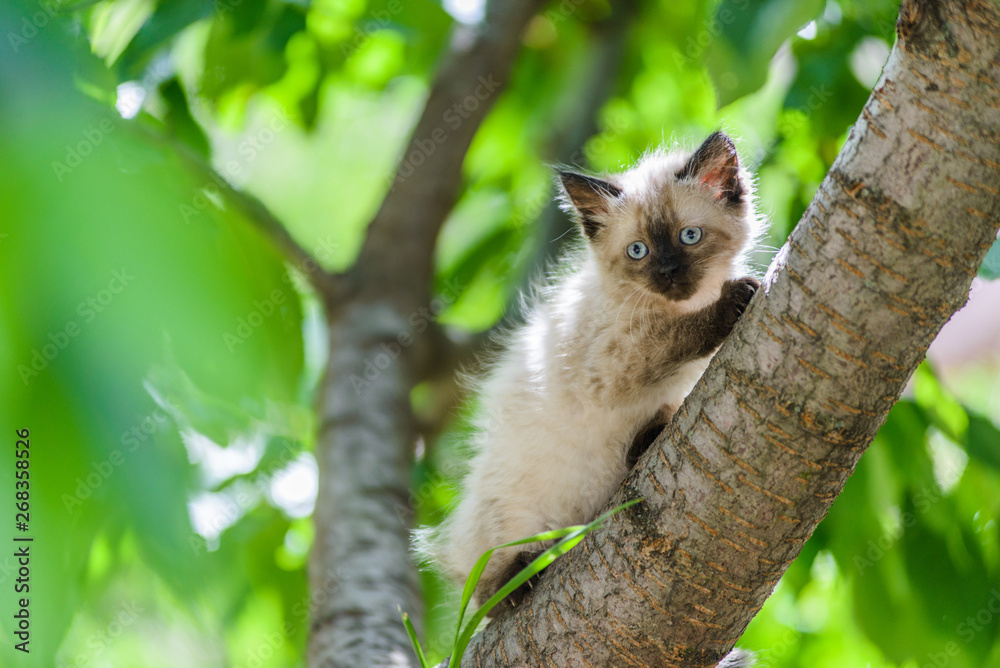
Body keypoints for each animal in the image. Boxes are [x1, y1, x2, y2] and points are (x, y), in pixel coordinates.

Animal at [418, 130, 760, 612]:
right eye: (638, 251)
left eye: (689, 236)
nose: (669, 272)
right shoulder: (608, 366)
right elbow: (672, 339)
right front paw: (732, 300)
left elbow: (673, 394)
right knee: (484, 587)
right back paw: (521, 574)